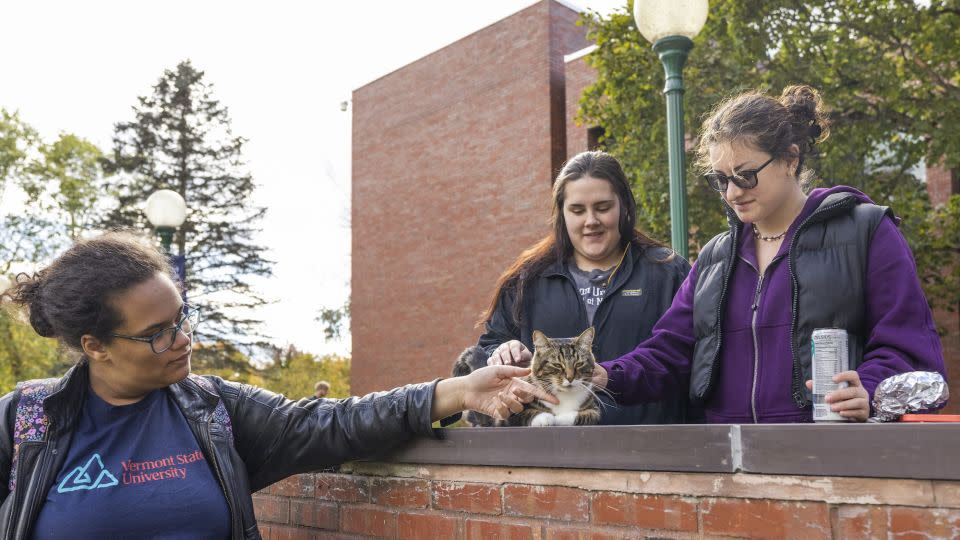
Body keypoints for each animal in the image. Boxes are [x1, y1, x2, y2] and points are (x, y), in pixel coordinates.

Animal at [450, 326, 600, 428]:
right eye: (557, 365)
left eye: (579, 363)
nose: (570, 378)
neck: (564, 396)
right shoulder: (508, 414)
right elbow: (526, 413)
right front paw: (546, 418)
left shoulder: (595, 411)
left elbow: (584, 416)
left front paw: (559, 418)